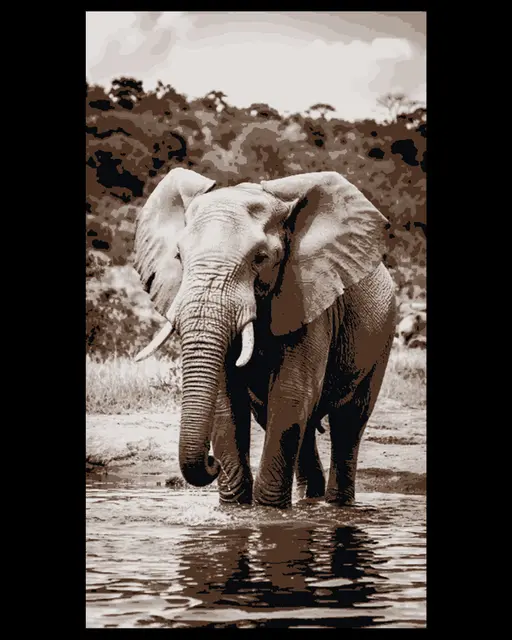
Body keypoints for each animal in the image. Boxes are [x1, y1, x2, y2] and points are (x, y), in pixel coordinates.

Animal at [132, 168, 397, 508]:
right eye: (179, 256)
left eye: (260, 258)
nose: (211, 463)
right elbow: (226, 400)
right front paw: (235, 508)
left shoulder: (307, 295)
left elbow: (290, 393)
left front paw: (269, 512)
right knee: (299, 425)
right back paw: (309, 502)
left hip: (383, 333)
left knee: (348, 422)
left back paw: (336, 506)